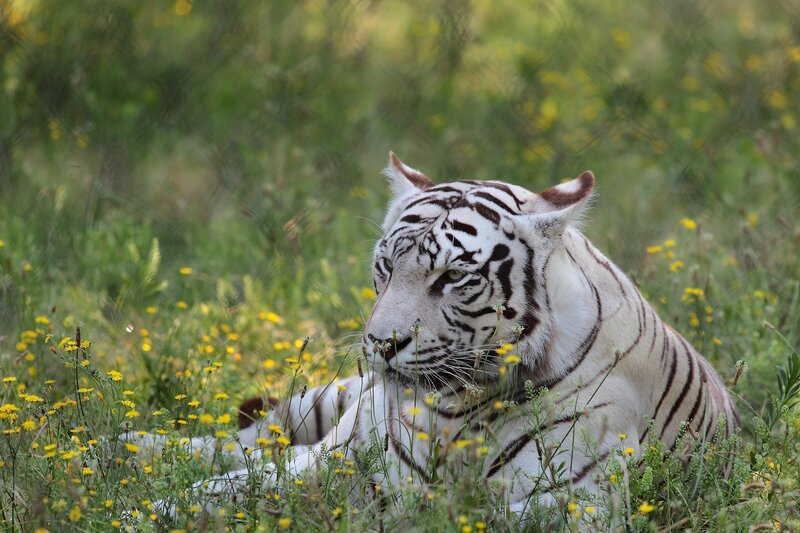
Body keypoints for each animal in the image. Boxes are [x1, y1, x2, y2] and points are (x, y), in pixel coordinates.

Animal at [130, 153, 739, 518]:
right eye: (385, 266)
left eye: (451, 277)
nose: (380, 344)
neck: (456, 410)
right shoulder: (348, 466)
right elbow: (225, 491)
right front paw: (145, 511)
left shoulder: (569, 504)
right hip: (334, 421)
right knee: (246, 446)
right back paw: (130, 451)